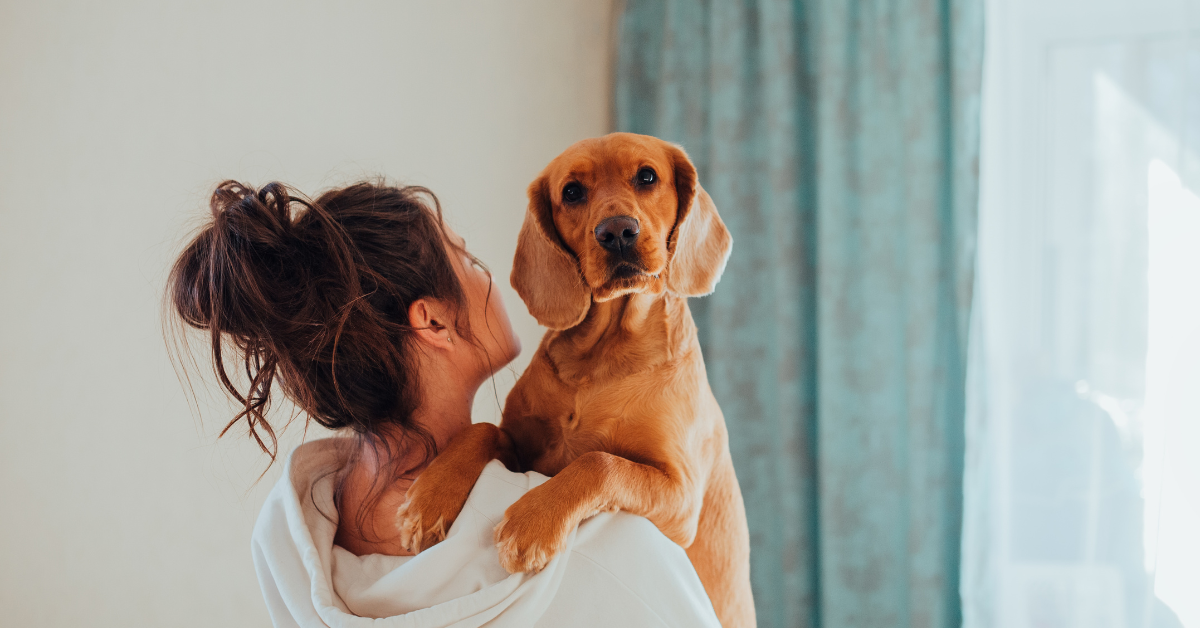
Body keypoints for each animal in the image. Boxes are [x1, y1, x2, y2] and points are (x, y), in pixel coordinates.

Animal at [396, 133, 748, 628]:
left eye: (647, 177)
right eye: (572, 192)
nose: (617, 232)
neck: (602, 357)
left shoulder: (681, 497)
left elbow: (599, 462)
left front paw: (532, 522)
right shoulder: (520, 447)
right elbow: (480, 429)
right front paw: (429, 500)